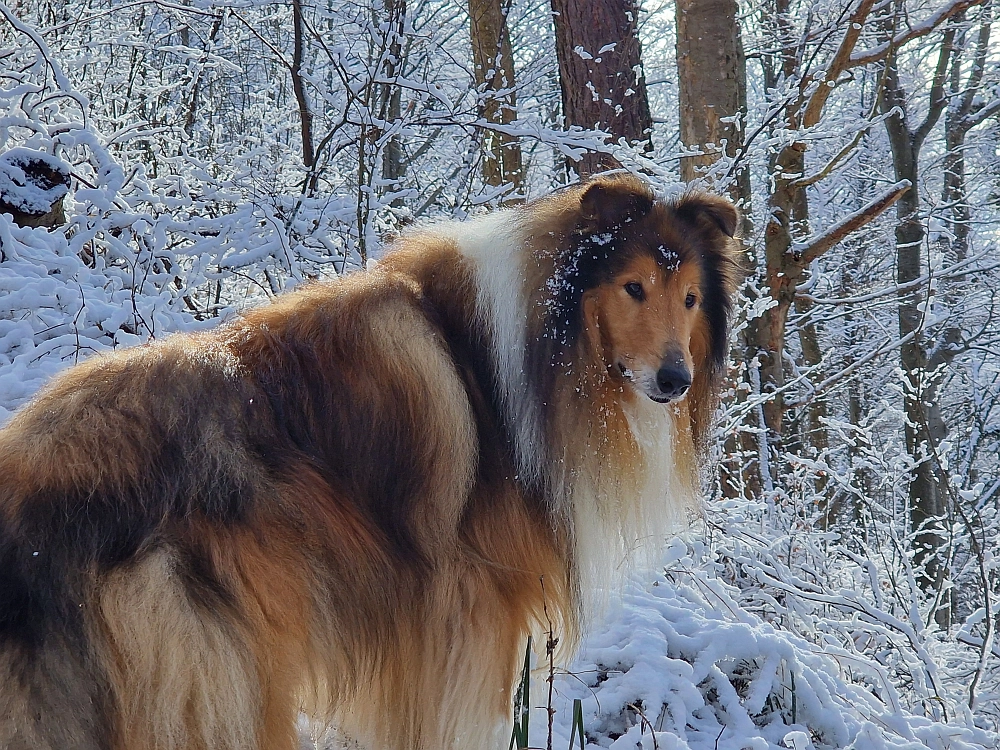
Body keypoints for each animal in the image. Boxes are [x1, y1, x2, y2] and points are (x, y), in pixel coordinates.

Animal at [0, 175, 736, 750]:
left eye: (690, 298)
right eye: (633, 287)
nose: (675, 380)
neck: (526, 357)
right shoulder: (473, 616)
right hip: (226, 676)